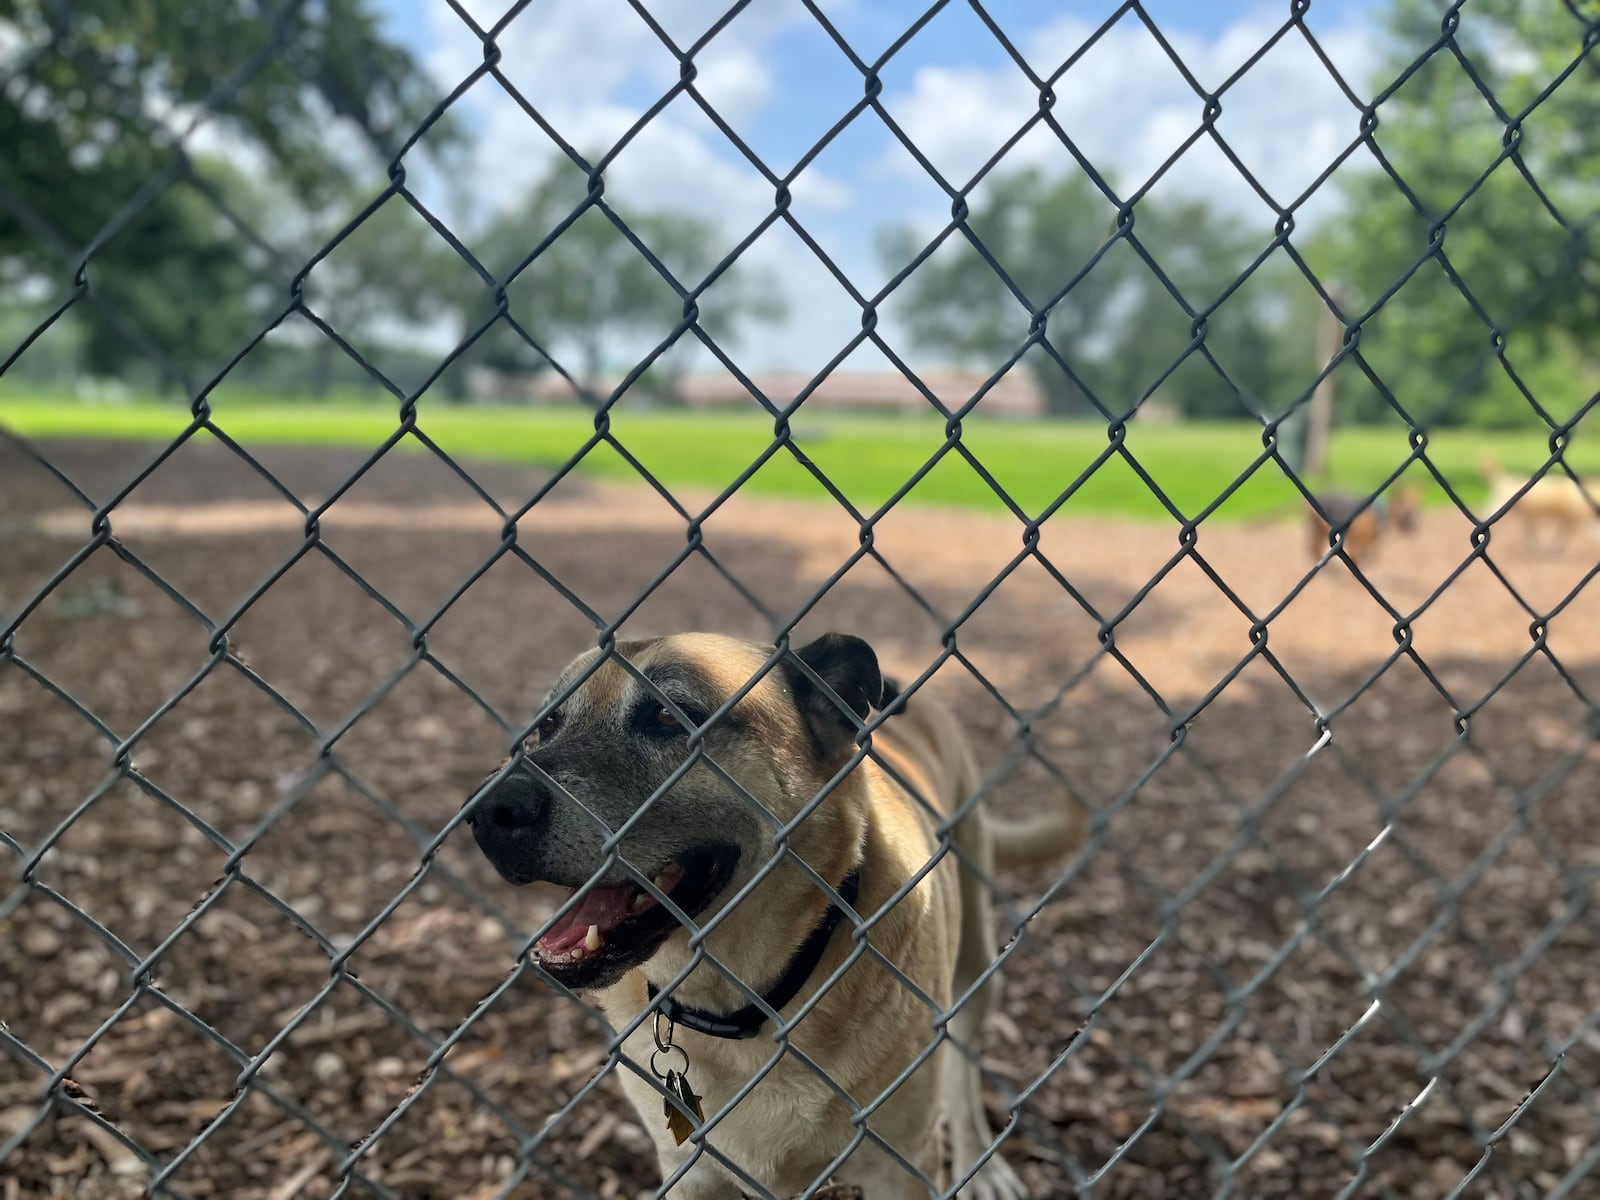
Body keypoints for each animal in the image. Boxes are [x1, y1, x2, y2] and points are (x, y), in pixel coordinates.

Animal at [467, 633, 1088, 1196]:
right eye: (548, 724)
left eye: (667, 716)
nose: (488, 811)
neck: (745, 1002)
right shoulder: (691, 1174)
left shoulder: (899, 1165)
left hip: (977, 965)